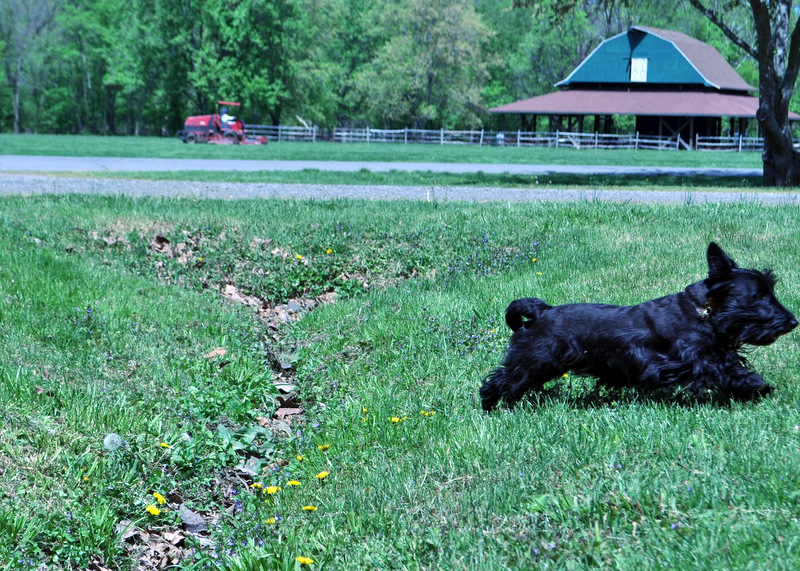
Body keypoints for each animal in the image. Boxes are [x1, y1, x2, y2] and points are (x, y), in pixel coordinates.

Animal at [481, 242, 797, 410]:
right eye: (759, 295)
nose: (793, 321)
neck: (703, 311)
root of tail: (542, 311)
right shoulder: (695, 357)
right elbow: (724, 369)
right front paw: (754, 385)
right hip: (535, 359)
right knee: (505, 379)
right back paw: (490, 405)